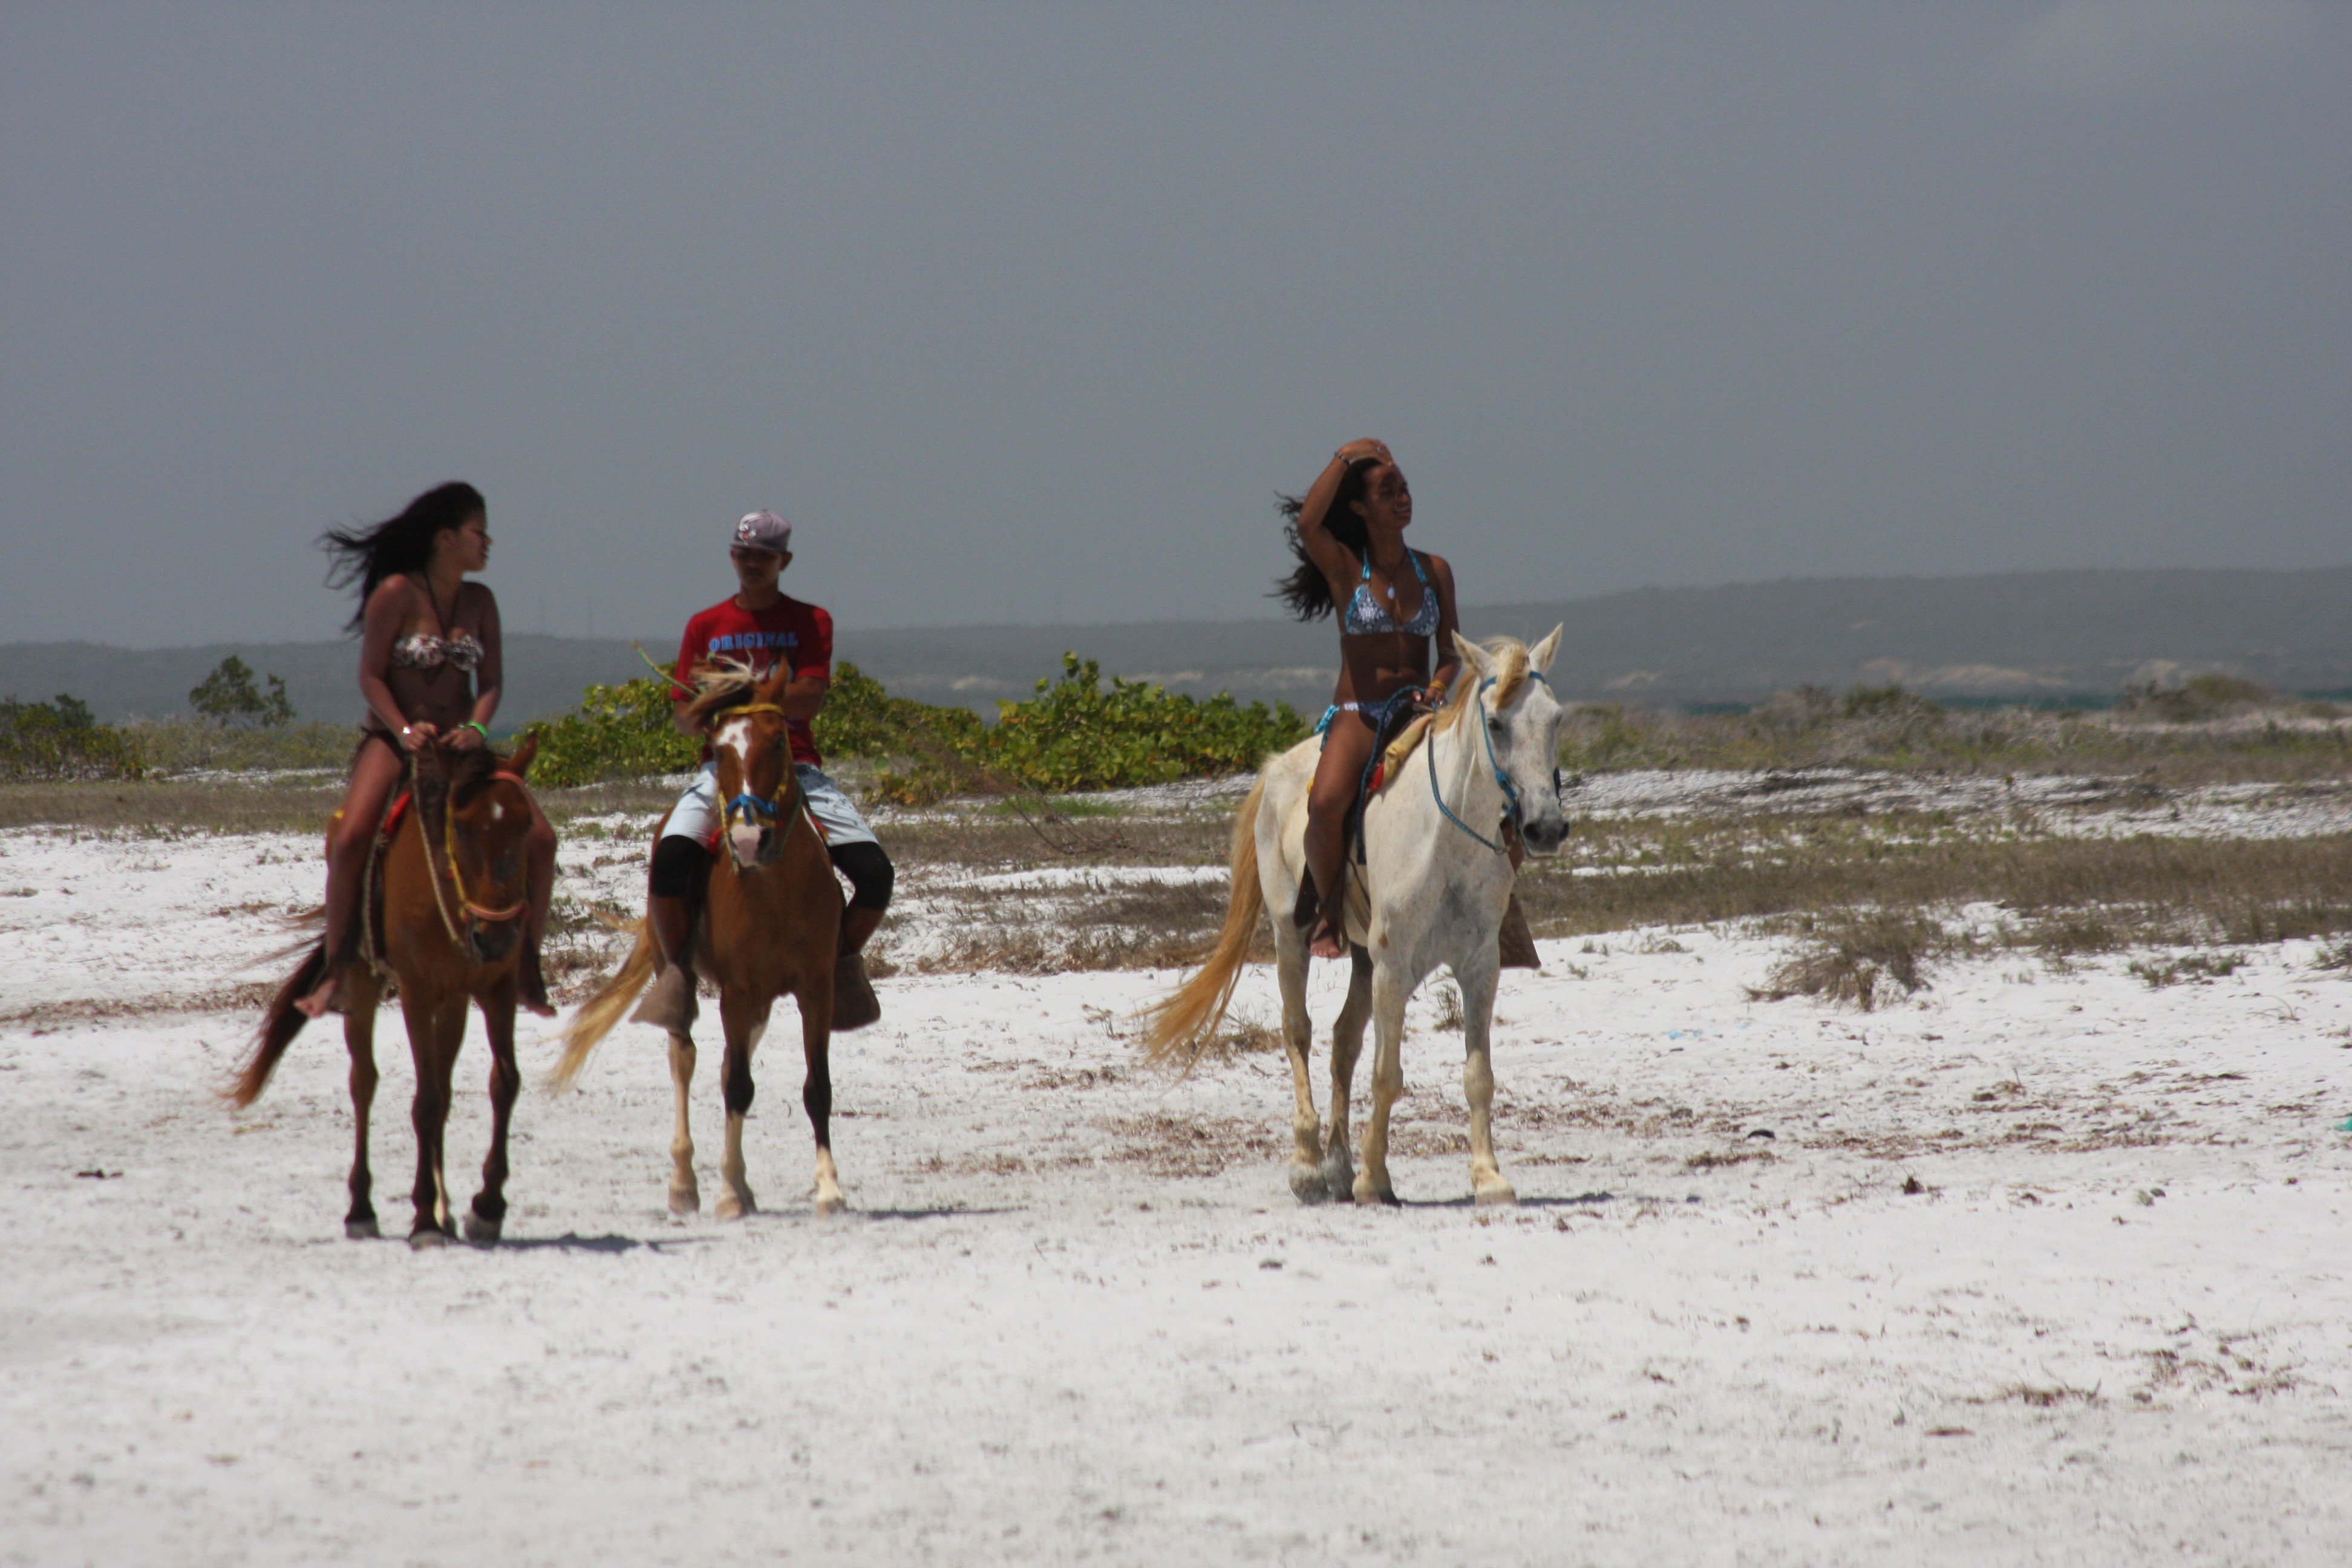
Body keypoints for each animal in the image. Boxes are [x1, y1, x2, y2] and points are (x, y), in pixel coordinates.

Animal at [238, 738, 550, 1250]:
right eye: (460, 827)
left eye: (526, 825)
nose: (496, 938)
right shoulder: (417, 993)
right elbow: (425, 1102)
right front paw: (424, 1217)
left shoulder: (495, 989)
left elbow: (503, 1083)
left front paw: (485, 1207)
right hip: (363, 986)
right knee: (364, 1082)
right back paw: (362, 1209)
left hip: (455, 1000)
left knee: (442, 1082)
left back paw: (444, 1210)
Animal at [546, 658, 851, 1213]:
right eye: (720, 748)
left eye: (779, 742)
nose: (750, 840)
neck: (775, 890)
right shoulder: (737, 990)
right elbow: (737, 1086)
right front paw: (727, 1194)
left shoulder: (815, 988)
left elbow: (816, 1087)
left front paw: (828, 1187)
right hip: (685, 979)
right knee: (684, 1059)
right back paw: (685, 1183)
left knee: (732, 1063)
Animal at [1138, 630, 1561, 1213]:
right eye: (1496, 724)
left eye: (1556, 719)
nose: (1547, 828)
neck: (1445, 839)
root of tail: (1277, 767)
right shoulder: (1394, 967)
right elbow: (1387, 1076)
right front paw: (1374, 1180)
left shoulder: (1479, 965)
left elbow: (1478, 1075)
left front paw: (1489, 1178)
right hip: (1291, 937)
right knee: (1298, 1031)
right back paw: (1308, 1167)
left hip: (1361, 956)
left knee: (1342, 1042)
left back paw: (1337, 1165)